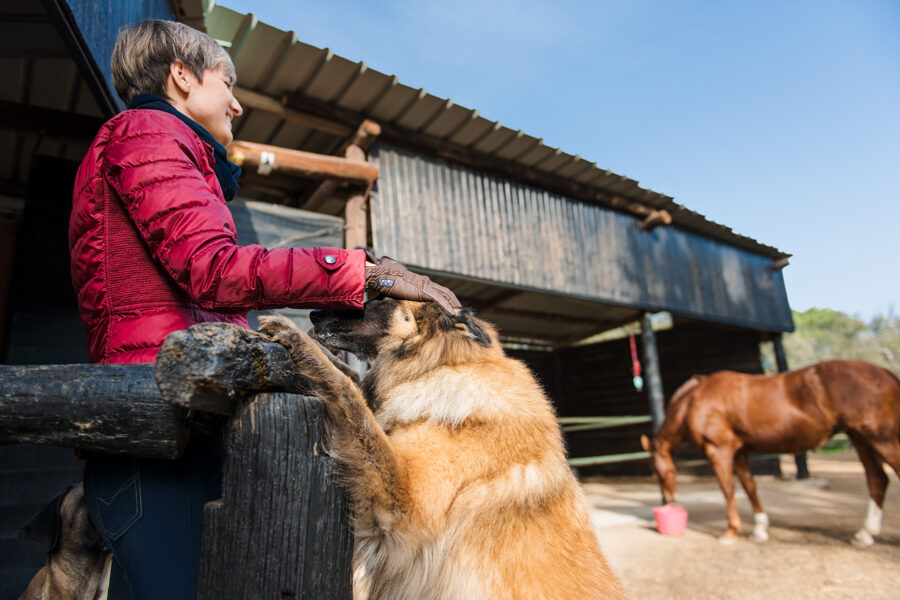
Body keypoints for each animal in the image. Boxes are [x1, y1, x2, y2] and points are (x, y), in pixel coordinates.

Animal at [640, 359, 900, 546]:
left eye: (656, 473)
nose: (670, 502)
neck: (693, 399)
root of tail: (885, 372)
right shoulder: (740, 451)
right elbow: (749, 487)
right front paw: (759, 530)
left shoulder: (719, 450)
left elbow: (727, 489)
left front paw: (730, 532)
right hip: (860, 438)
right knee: (877, 479)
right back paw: (865, 534)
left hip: (880, 439)